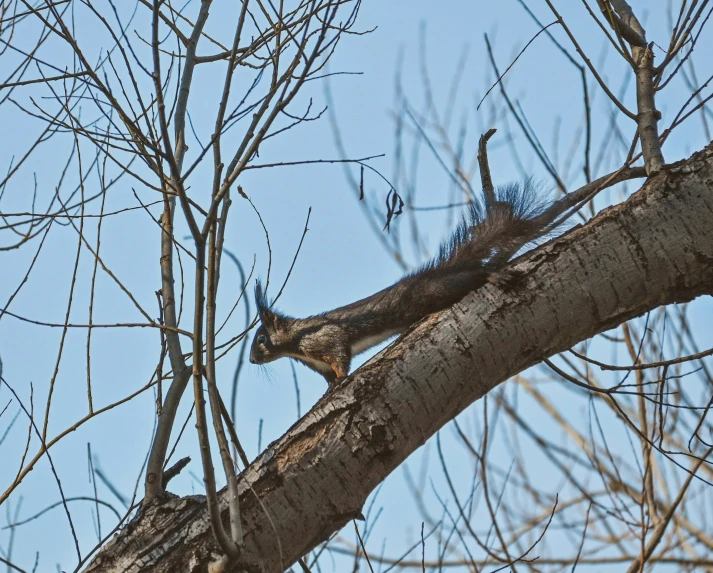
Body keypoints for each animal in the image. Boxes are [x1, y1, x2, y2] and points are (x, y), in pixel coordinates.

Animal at [249, 181, 552, 386]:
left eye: (261, 339)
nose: (251, 360)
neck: (295, 343)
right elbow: (328, 377)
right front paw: (331, 387)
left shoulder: (327, 337)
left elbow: (340, 355)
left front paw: (341, 380)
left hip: (432, 292)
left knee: (469, 277)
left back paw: (492, 275)